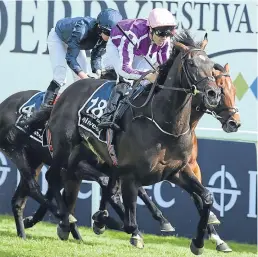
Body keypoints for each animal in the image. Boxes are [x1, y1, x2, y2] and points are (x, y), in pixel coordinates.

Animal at [40, 31, 222, 253]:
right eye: (191, 64)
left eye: (212, 65)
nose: (213, 94)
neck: (166, 126)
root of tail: (66, 92)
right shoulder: (130, 174)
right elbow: (130, 217)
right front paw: (130, 231)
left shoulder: (178, 171)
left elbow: (206, 197)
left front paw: (198, 242)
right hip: (63, 147)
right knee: (52, 176)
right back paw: (67, 217)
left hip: (85, 153)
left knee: (71, 177)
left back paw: (69, 223)